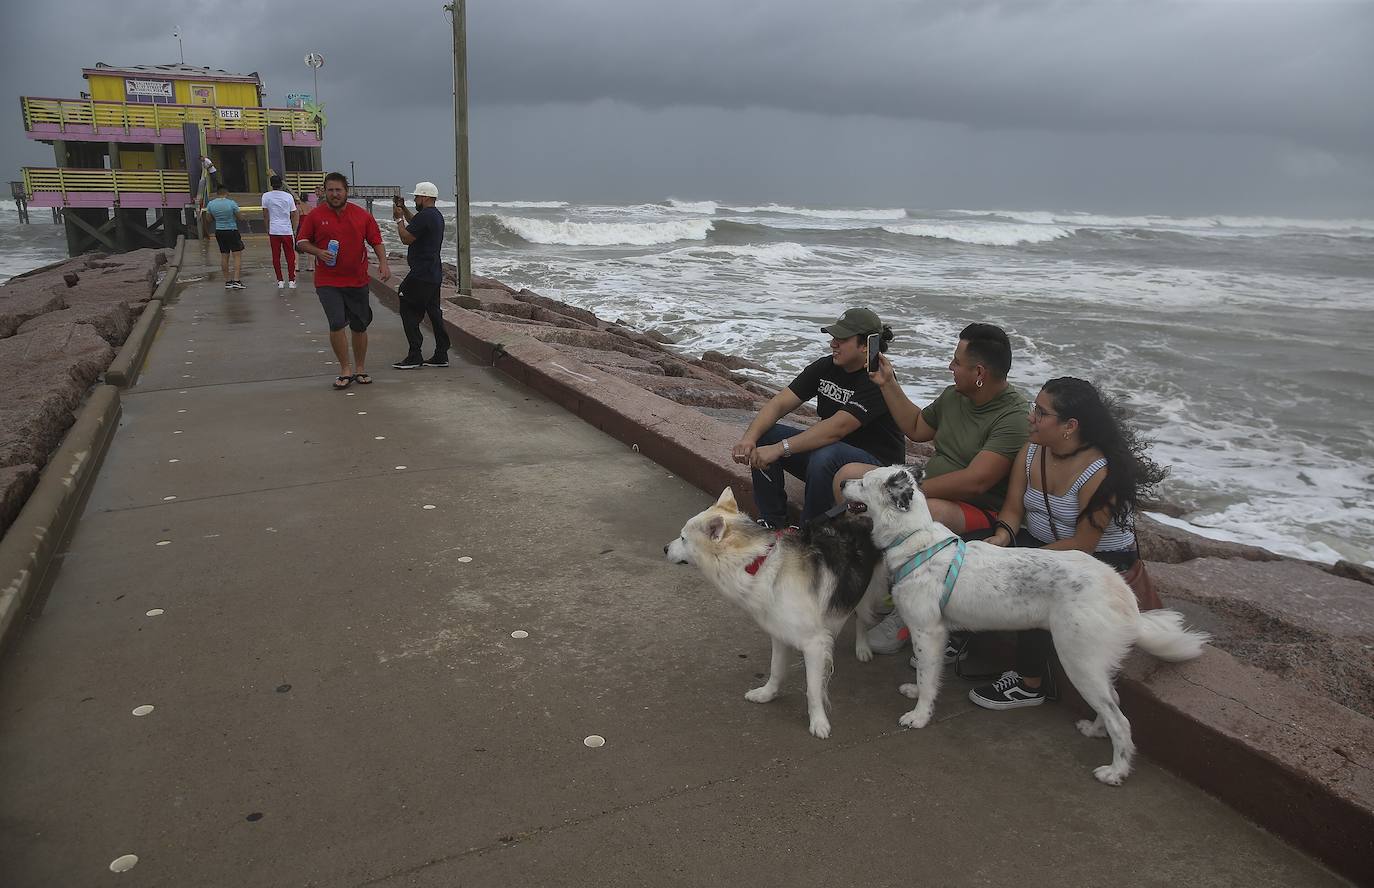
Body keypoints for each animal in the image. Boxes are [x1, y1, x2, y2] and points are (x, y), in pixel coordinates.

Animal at [667, 489, 890, 742]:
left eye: (683, 538)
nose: (664, 548)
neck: (757, 564)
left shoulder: (813, 644)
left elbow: (813, 690)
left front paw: (818, 721)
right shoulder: (780, 634)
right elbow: (776, 670)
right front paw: (767, 694)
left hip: (870, 589)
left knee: (862, 618)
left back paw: (863, 647)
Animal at [840, 467, 1209, 786]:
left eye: (864, 480)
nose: (842, 481)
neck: (913, 538)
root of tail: (1124, 595)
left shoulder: (927, 631)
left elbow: (927, 677)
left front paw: (919, 715)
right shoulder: (936, 633)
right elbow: (926, 675)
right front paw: (916, 694)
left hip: (1078, 660)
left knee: (1122, 721)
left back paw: (1115, 771)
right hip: (1092, 664)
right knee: (1113, 701)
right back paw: (1094, 730)